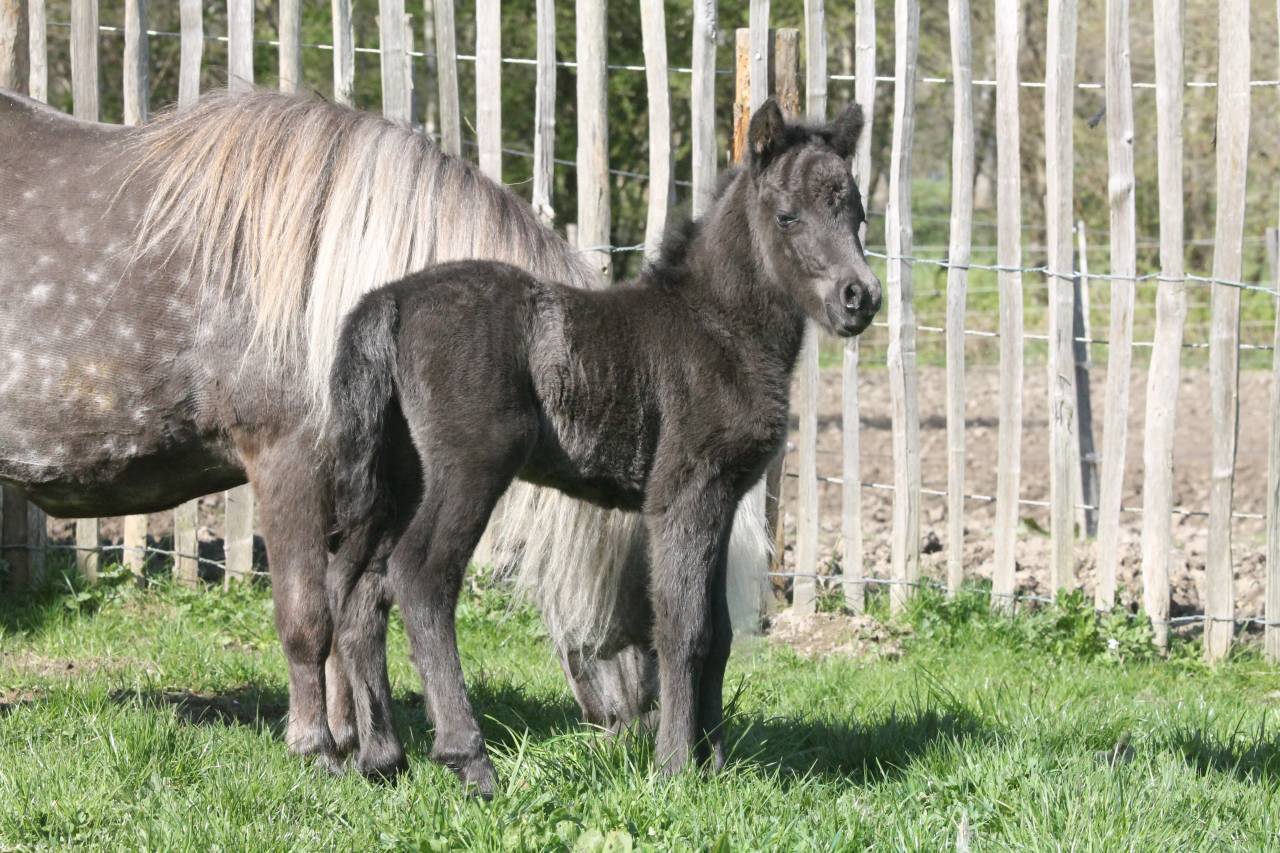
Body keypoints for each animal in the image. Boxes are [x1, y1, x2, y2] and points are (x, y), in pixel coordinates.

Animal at [0, 88, 769, 770]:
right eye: (652, 583)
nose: (641, 725)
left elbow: (351, 610)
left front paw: (354, 738)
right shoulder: (287, 464)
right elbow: (309, 618)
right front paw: (316, 747)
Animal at [327, 100, 881, 795]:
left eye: (858, 212)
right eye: (787, 215)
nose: (860, 299)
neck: (719, 328)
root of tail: (392, 298)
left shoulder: (723, 498)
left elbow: (720, 632)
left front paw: (715, 764)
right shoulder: (684, 494)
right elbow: (683, 629)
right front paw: (674, 768)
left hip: (401, 474)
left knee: (358, 586)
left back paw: (381, 759)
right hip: (470, 468)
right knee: (419, 576)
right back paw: (469, 760)